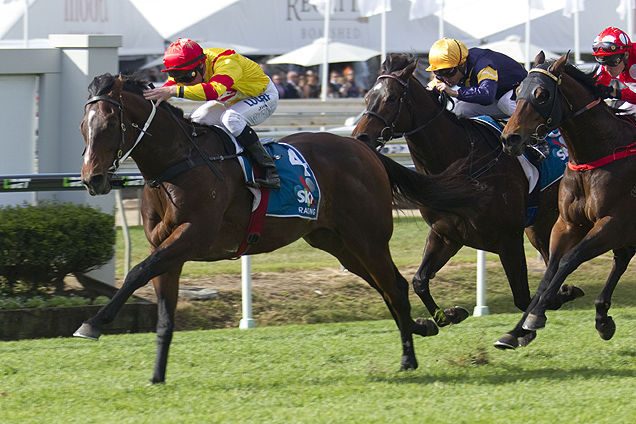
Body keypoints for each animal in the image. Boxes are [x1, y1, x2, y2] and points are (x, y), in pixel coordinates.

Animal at [73, 73, 482, 384]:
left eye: (109, 124)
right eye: (82, 127)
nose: (92, 179)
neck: (180, 163)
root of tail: (365, 150)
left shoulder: (191, 237)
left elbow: (136, 272)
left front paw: (92, 323)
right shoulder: (168, 250)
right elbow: (163, 315)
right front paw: (157, 376)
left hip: (367, 237)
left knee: (394, 285)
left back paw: (410, 356)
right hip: (336, 242)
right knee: (386, 287)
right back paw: (425, 326)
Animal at [352, 53, 580, 338]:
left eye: (392, 97)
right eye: (367, 96)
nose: (360, 137)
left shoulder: (509, 237)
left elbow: (523, 297)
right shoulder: (446, 234)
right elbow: (419, 281)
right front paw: (450, 314)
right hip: (539, 225)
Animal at [496, 51, 636, 348]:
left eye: (542, 94)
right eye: (518, 91)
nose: (509, 138)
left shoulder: (614, 223)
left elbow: (570, 259)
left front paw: (536, 316)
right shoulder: (568, 224)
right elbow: (550, 271)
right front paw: (517, 330)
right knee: (622, 257)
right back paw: (602, 316)